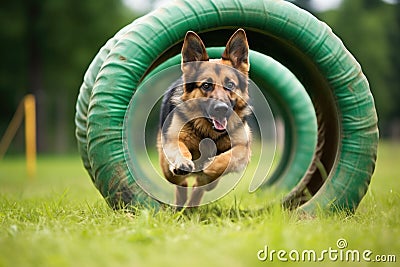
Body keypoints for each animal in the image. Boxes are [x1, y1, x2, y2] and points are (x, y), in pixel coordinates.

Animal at [158, 29, 252, 208]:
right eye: (206, 86)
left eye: (230, 85)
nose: (221, 109)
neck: (209, 132)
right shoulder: (174, 140)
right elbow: (181, 150)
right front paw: (184, 162)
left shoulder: (244, 148)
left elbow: (226, 158)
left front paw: (209, 166)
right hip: (167, 167)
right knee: (179, 183)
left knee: (200, 187)